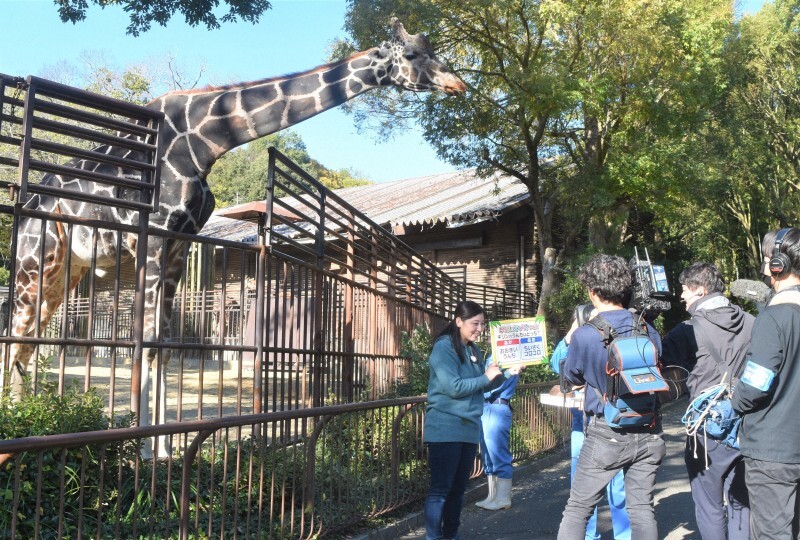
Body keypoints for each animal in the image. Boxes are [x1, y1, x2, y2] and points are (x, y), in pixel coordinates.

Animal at [6, 21, 466, 410]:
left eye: (433, 49)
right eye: (411, 54)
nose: (457, 84)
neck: (206, 141)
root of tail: (27, 208)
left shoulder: (180, 242)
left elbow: (164, 346)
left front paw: (161, 452)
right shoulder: (153, 234)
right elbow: (148, 342)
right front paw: (142, 452)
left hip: (68, 269)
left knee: (27, 339)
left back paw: (24, 413)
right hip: (36, 261)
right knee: (17, 333)